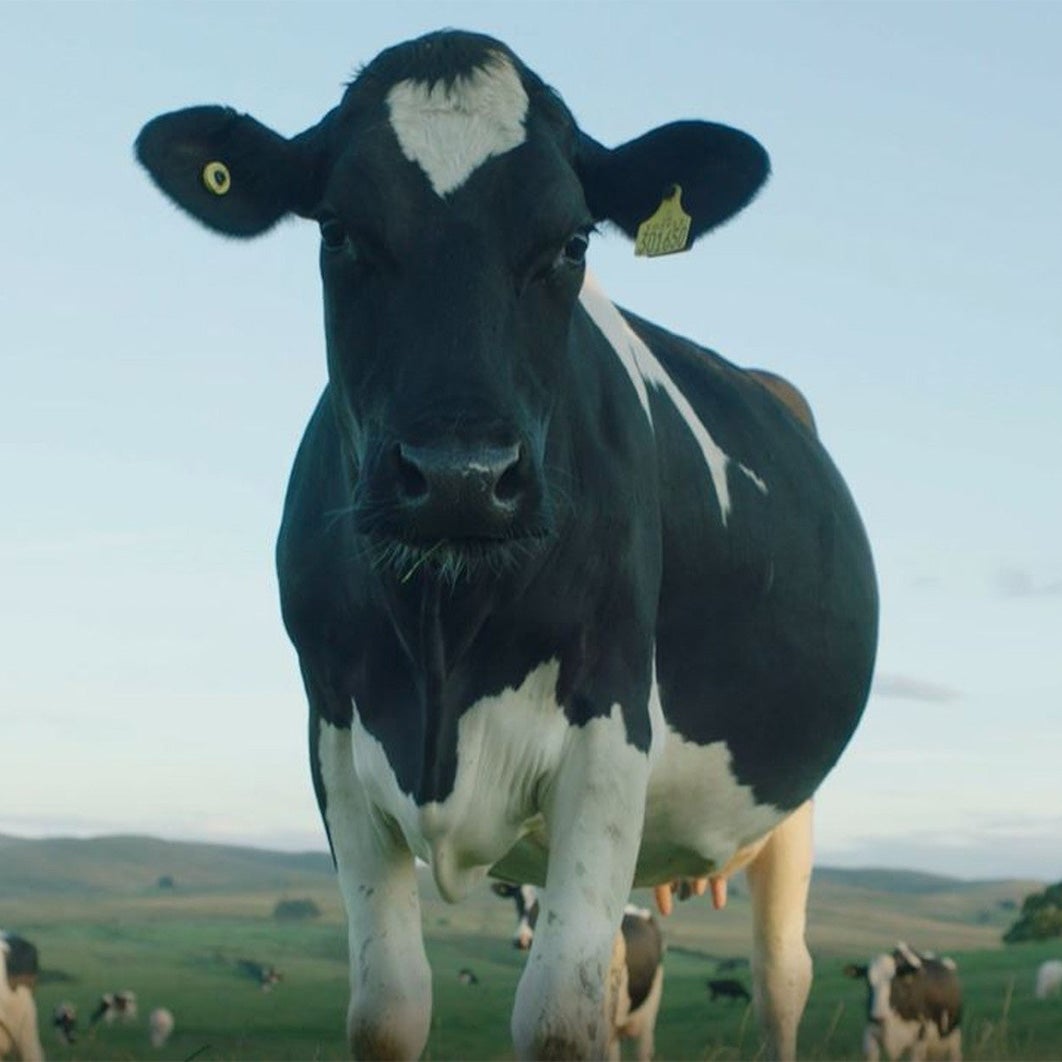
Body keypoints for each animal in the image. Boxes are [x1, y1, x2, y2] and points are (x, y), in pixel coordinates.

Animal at [135, 27, 878, 1060]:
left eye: (572, 242)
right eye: (337, 231)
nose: (460, 476)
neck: (443, 643)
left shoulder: (611, 723)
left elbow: (560, 1019)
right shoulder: (332, 729)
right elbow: (389, 1010)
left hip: (791, 805)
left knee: (781, 979)